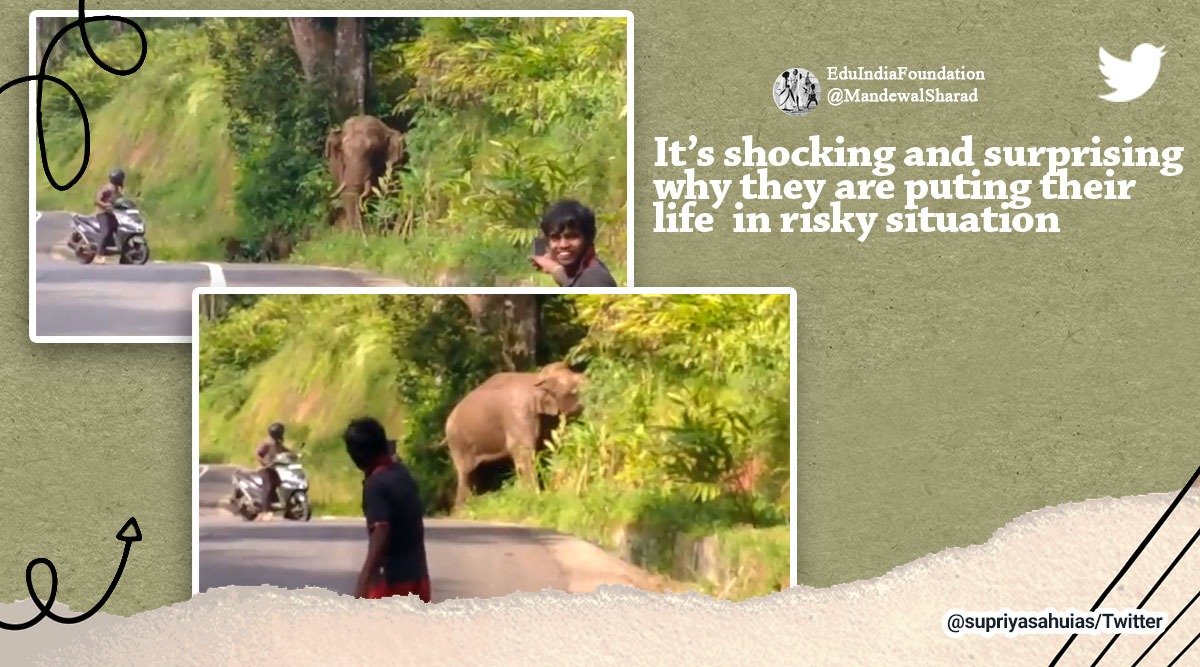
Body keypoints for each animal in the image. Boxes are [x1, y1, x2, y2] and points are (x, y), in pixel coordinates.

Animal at [444, 359, 588, 511]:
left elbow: (547, 448)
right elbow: (523, 451)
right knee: (466, 474)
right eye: (574, 391)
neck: (535, 378)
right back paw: (462, 511)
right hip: (458, 444)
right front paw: (535, 497)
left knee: (480, 473)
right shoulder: (519, 415)